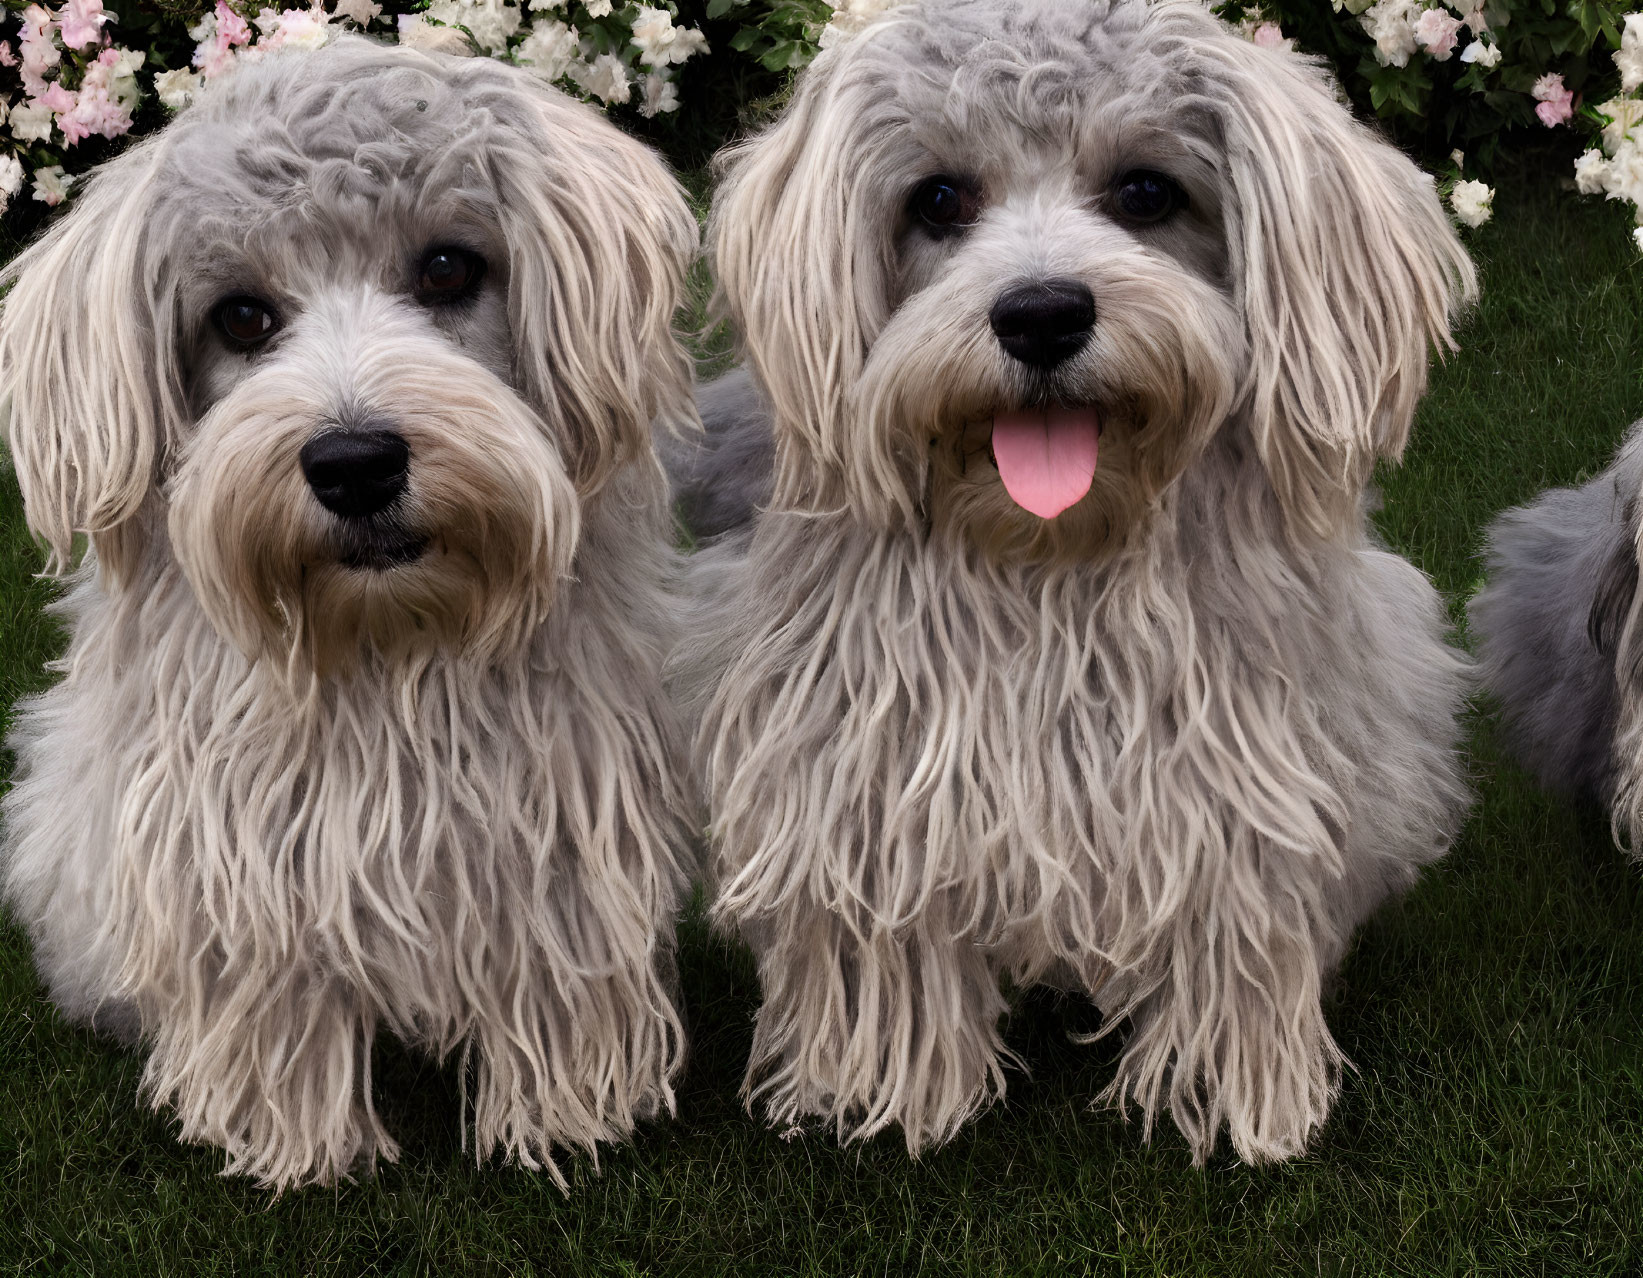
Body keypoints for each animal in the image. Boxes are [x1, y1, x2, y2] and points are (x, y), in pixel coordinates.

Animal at [0, 42, 696, 1195]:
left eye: (449, 268)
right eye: (240, 317)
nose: (353, 463)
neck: (387, 648)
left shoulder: (556, 811)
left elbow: (552, 964)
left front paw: (561, 1116)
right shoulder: (242, 850)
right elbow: (272, 995)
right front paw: (291, 1143)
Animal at [667, 0, 1478, 1163]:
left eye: (1145, 192)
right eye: (938, 200)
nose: (1042, 313)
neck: (1050, 570)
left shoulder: (1238, 782)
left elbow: (1233, 931)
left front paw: (1237, 1090)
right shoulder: (863, 776)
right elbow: (885, 944)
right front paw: (880, 1088)